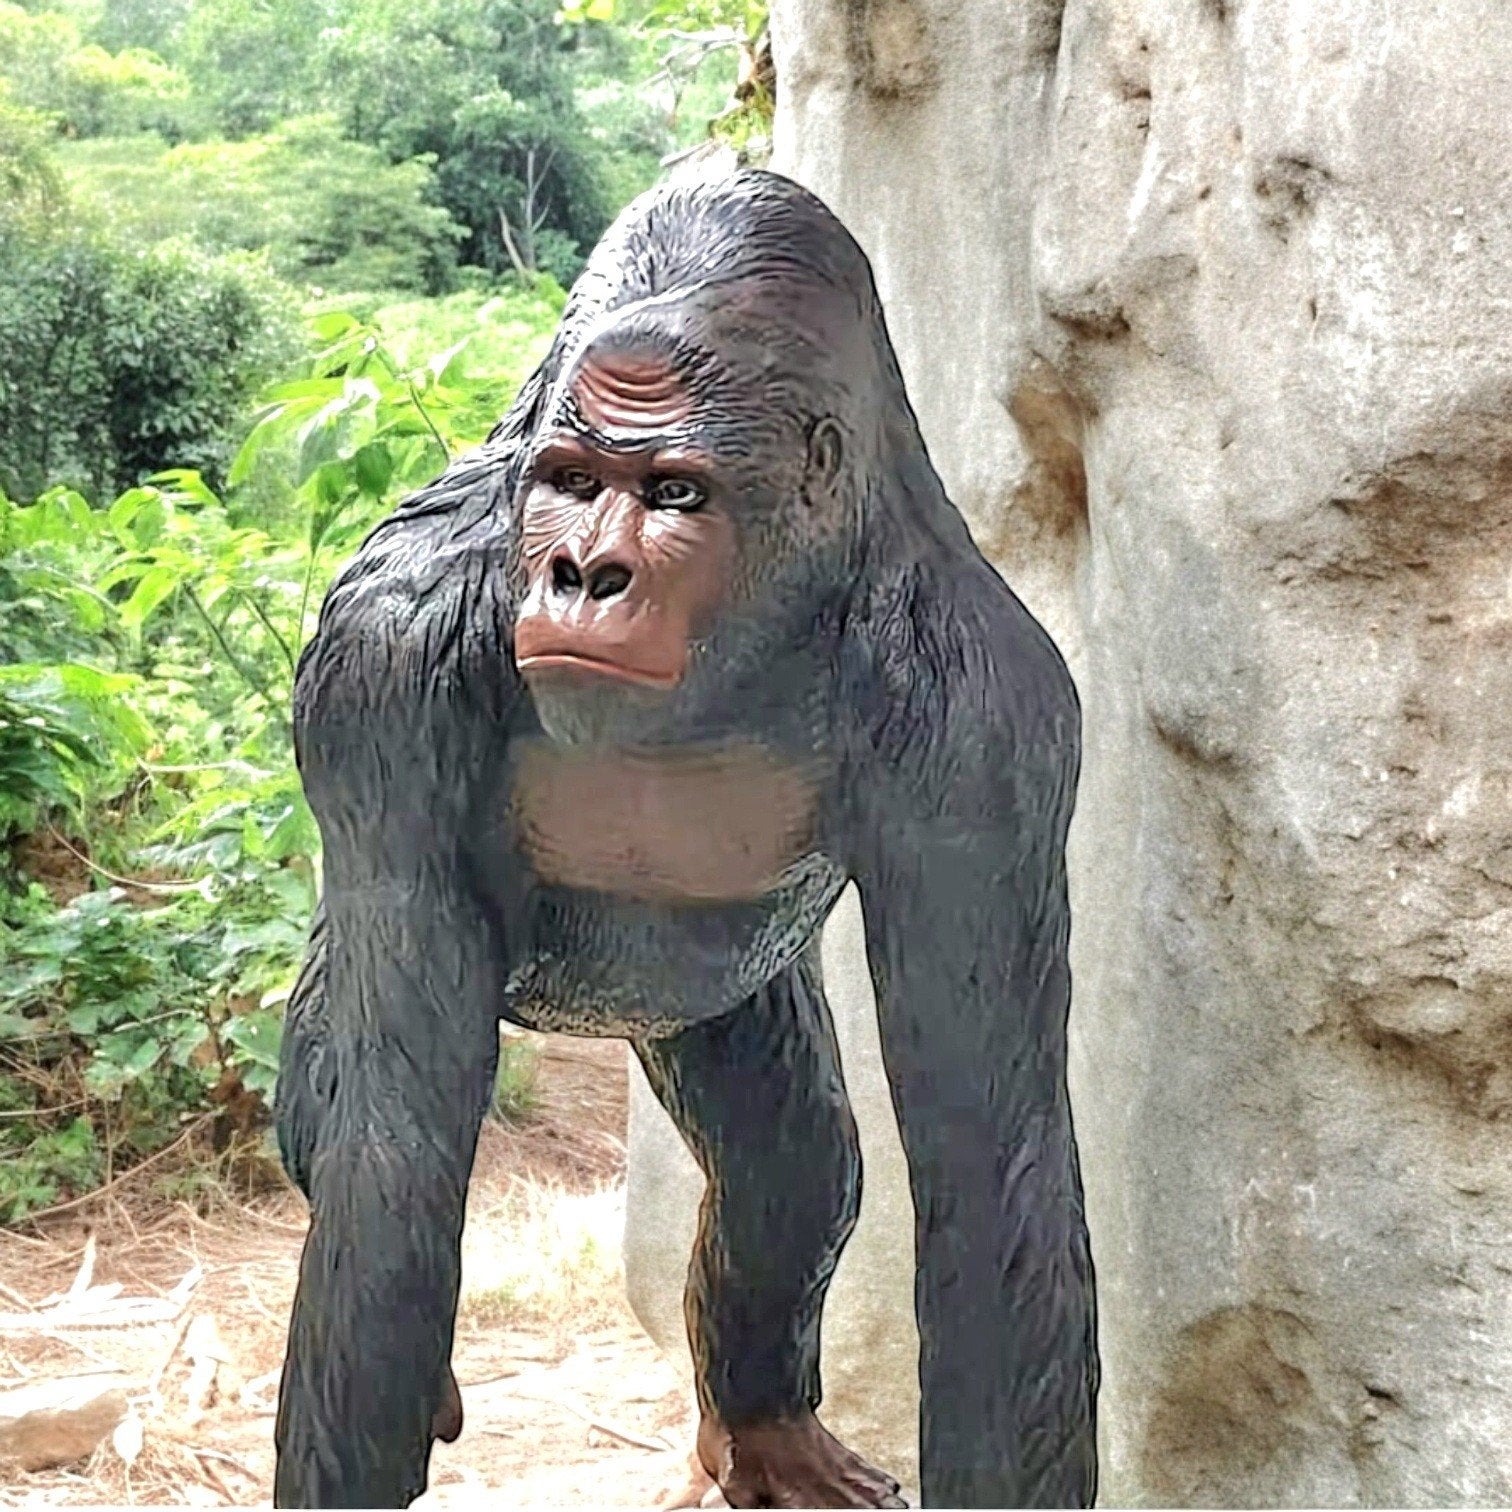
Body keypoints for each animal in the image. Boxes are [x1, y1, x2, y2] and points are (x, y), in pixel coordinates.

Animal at [272, 167, 1098, 1511]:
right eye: (568, 479)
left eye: (673, 494)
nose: (580, 572)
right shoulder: (379, 662)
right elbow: (389, 1163)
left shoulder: (989, 720)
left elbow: (991, 1171)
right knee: (326, 1117)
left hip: (715, 1006)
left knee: (790, 1163)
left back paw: (763, 1429)